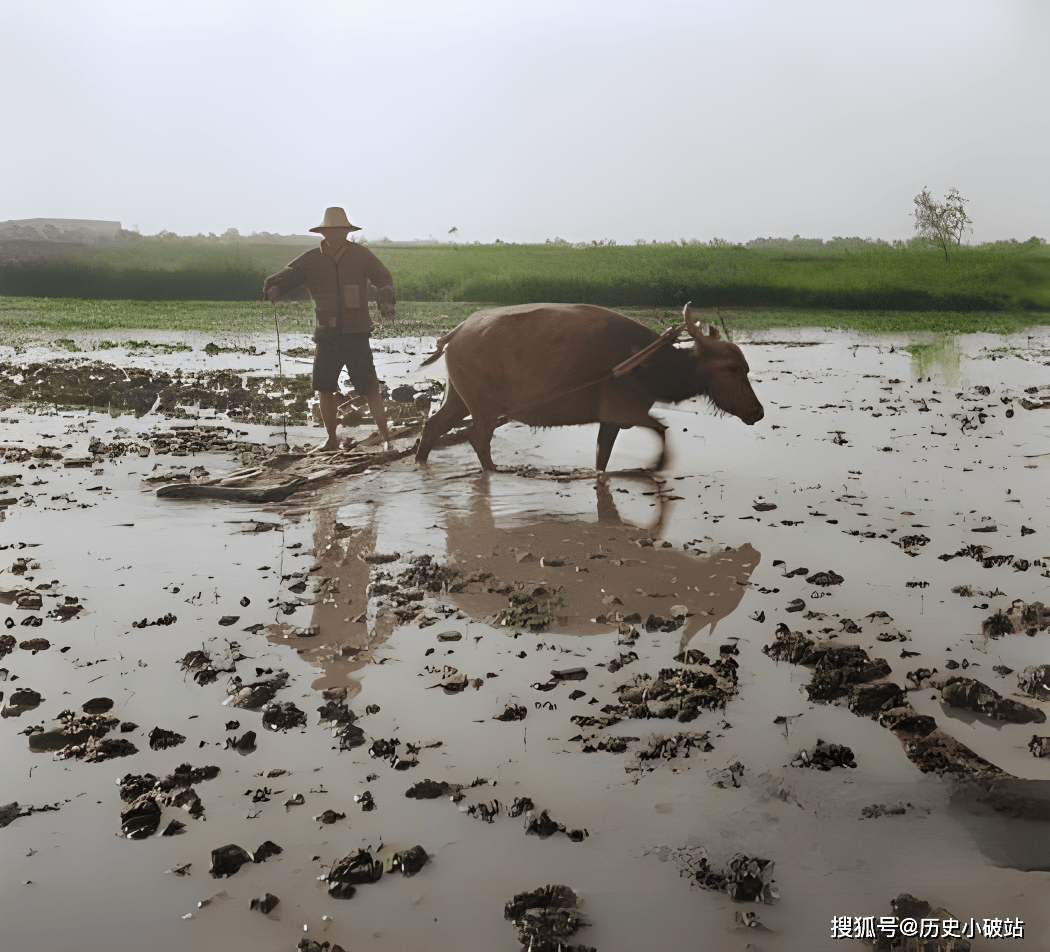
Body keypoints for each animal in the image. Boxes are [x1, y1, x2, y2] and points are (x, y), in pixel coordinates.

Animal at [413, 302, 768, 472]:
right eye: (733, 368)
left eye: (745, 367)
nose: (758, 412)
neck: (647, 362)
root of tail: (457, 332)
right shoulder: (627, 412)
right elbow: (663, 432)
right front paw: (655, 467)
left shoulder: (611, 421)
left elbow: (602, 459)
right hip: (482, 408)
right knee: (476, 437)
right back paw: (495, 471)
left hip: (458, 399)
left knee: (434, 427)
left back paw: (421, 462)